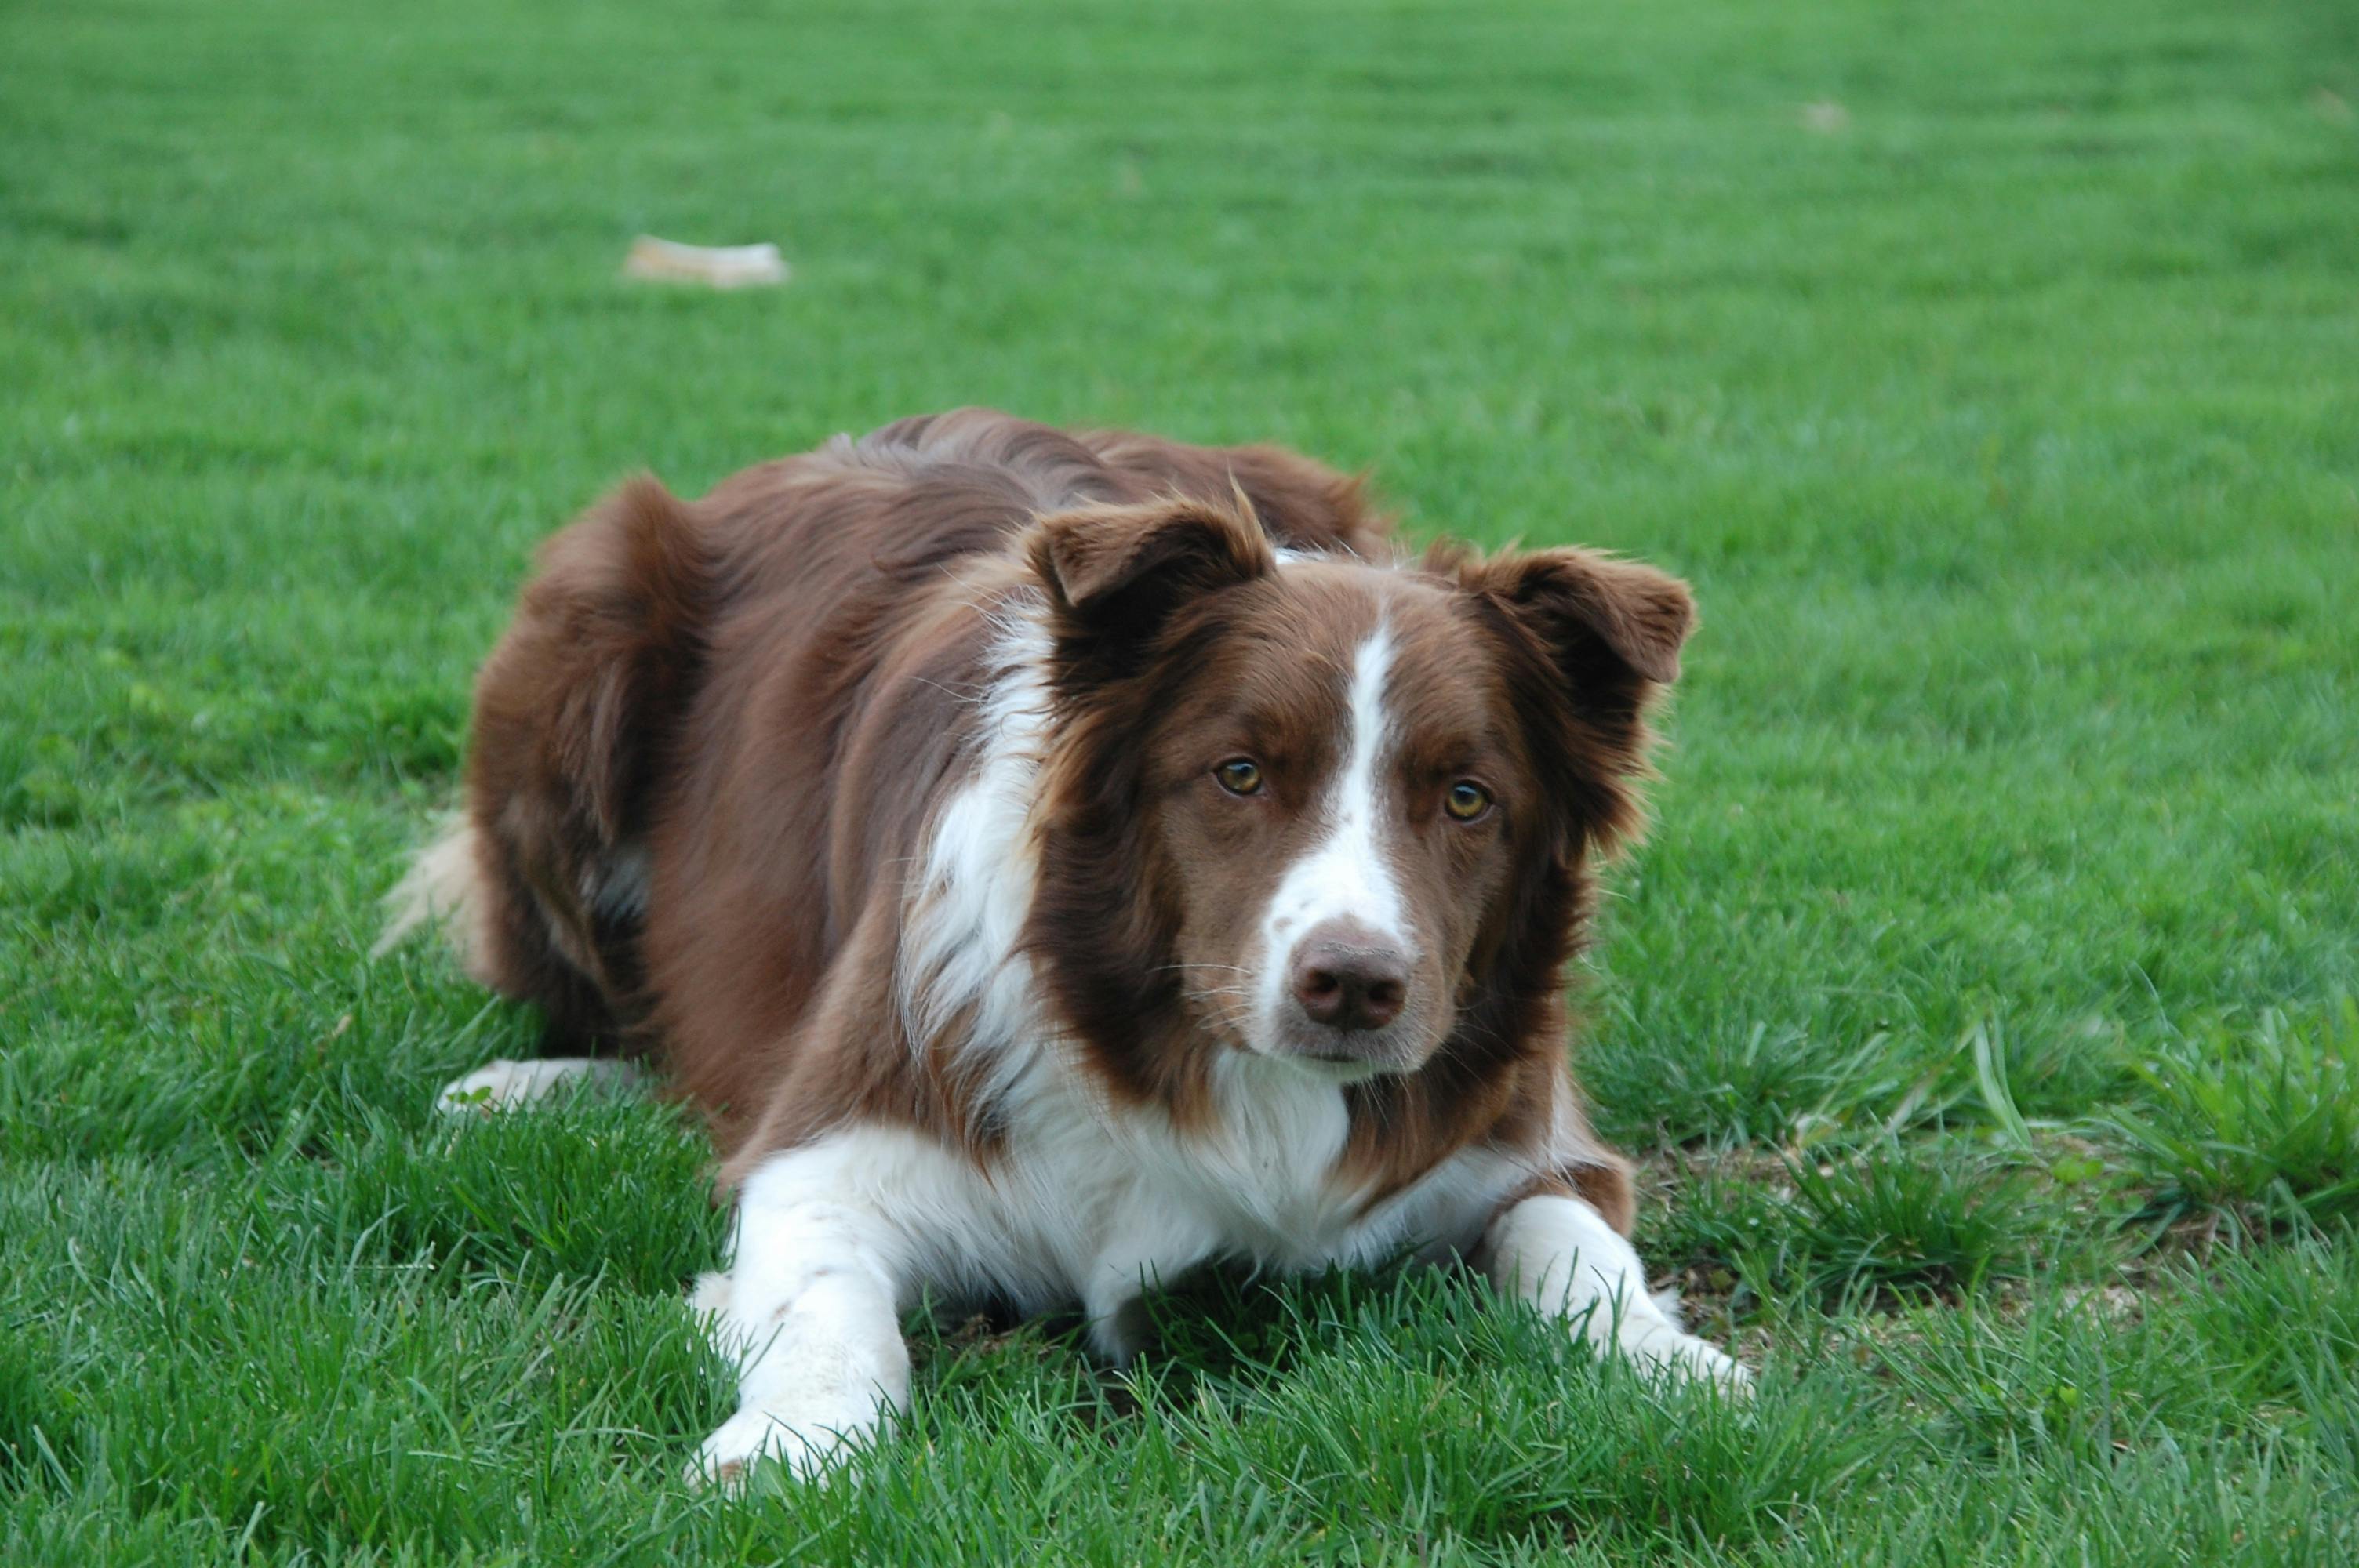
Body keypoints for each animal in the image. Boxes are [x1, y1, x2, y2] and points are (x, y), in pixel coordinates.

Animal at [387, 405, 1754, 1480]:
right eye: (1239, 773)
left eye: (1468, 797)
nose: (1355, 988)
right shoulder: (836, 1140)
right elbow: (831, 1306)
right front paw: (788, 1442)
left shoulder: (1530, 1138)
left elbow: (1576, 1245)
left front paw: (1677, 1363)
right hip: (575, 654)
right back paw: (523, 1086)